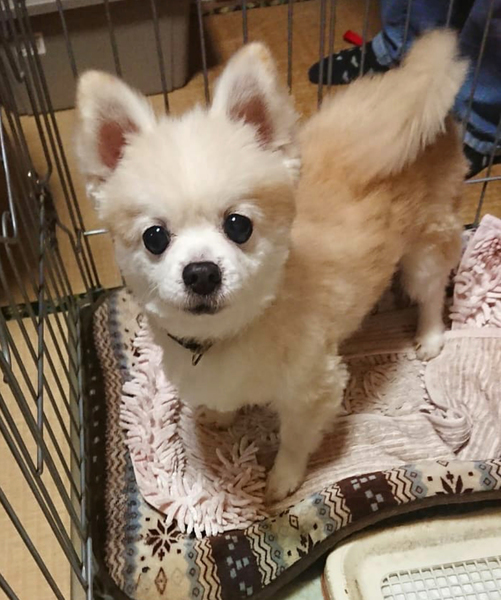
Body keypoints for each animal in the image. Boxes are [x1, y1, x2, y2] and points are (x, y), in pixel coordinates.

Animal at [75, 30, 467, 501]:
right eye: (155, 237)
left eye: (238, 225)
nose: (202, 272)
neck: (228, 334)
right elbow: (223, 400)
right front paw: (221, 417)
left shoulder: (314, 388)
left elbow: (295, 439)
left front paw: (282, 480)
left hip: (426, 245)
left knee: (431, 289)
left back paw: (429, 336)